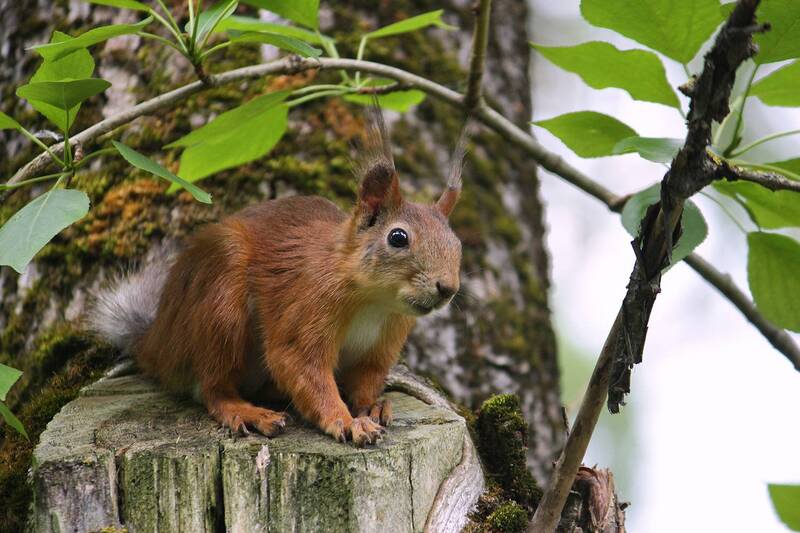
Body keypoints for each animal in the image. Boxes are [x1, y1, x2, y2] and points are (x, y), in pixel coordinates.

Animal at [88, 106, 465, 446]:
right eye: (398, 238)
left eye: (457, 243)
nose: (447, 288)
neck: (374, 301)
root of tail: (157, 342)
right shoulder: (307, 307)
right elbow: (300, 365)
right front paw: (344, 421)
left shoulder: (383, 344)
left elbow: (367, 380)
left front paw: (370, 408)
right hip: (220, 308)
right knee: (212, 388)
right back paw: (247, 412)